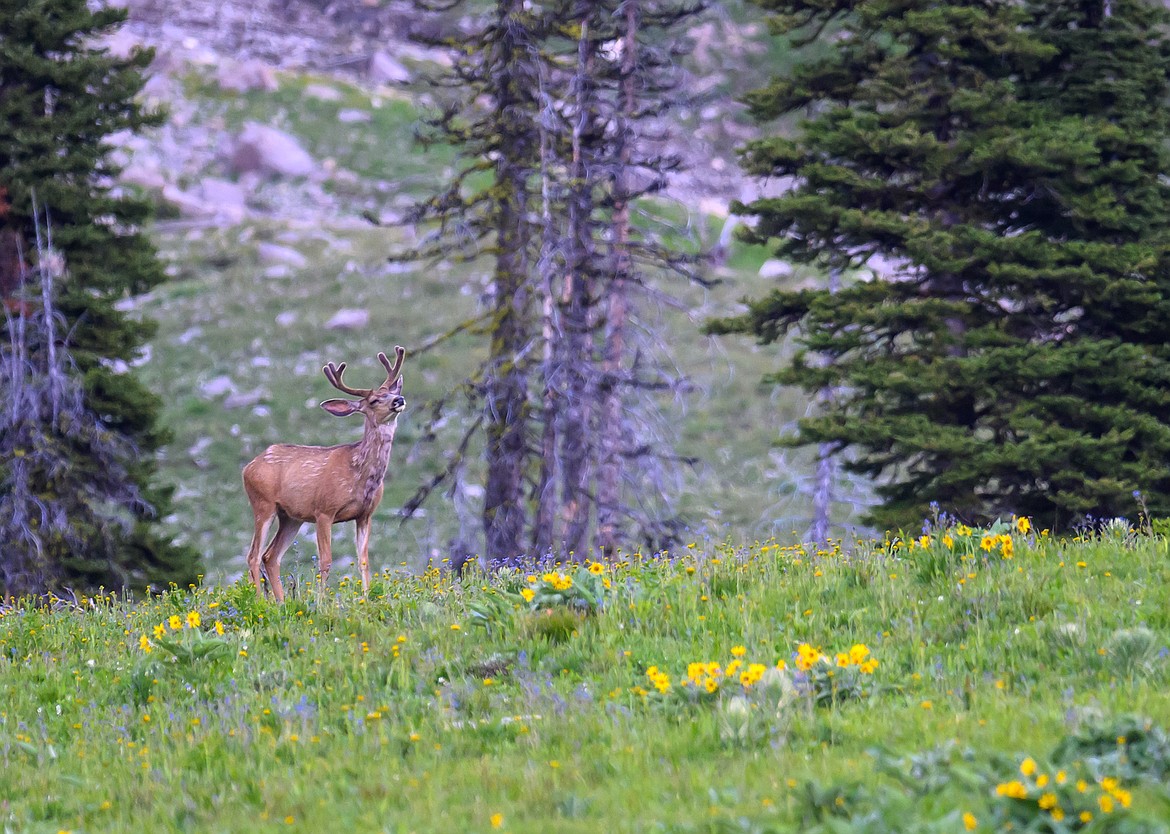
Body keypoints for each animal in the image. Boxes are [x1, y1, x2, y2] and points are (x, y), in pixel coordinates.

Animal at [242, 343, 407, 598]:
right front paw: (322, 601)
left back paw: (281, 602)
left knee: (270, 556)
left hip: (291, 516)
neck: (359, 475)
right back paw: (262, 601)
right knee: (253, 556)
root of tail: (248, 467)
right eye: (373, 401)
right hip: (262, 503)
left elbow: (364, 560)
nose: (398, 399)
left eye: (390, 393)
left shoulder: (365, 515)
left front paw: (367, 597)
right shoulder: (324, 511)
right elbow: (326, 561)